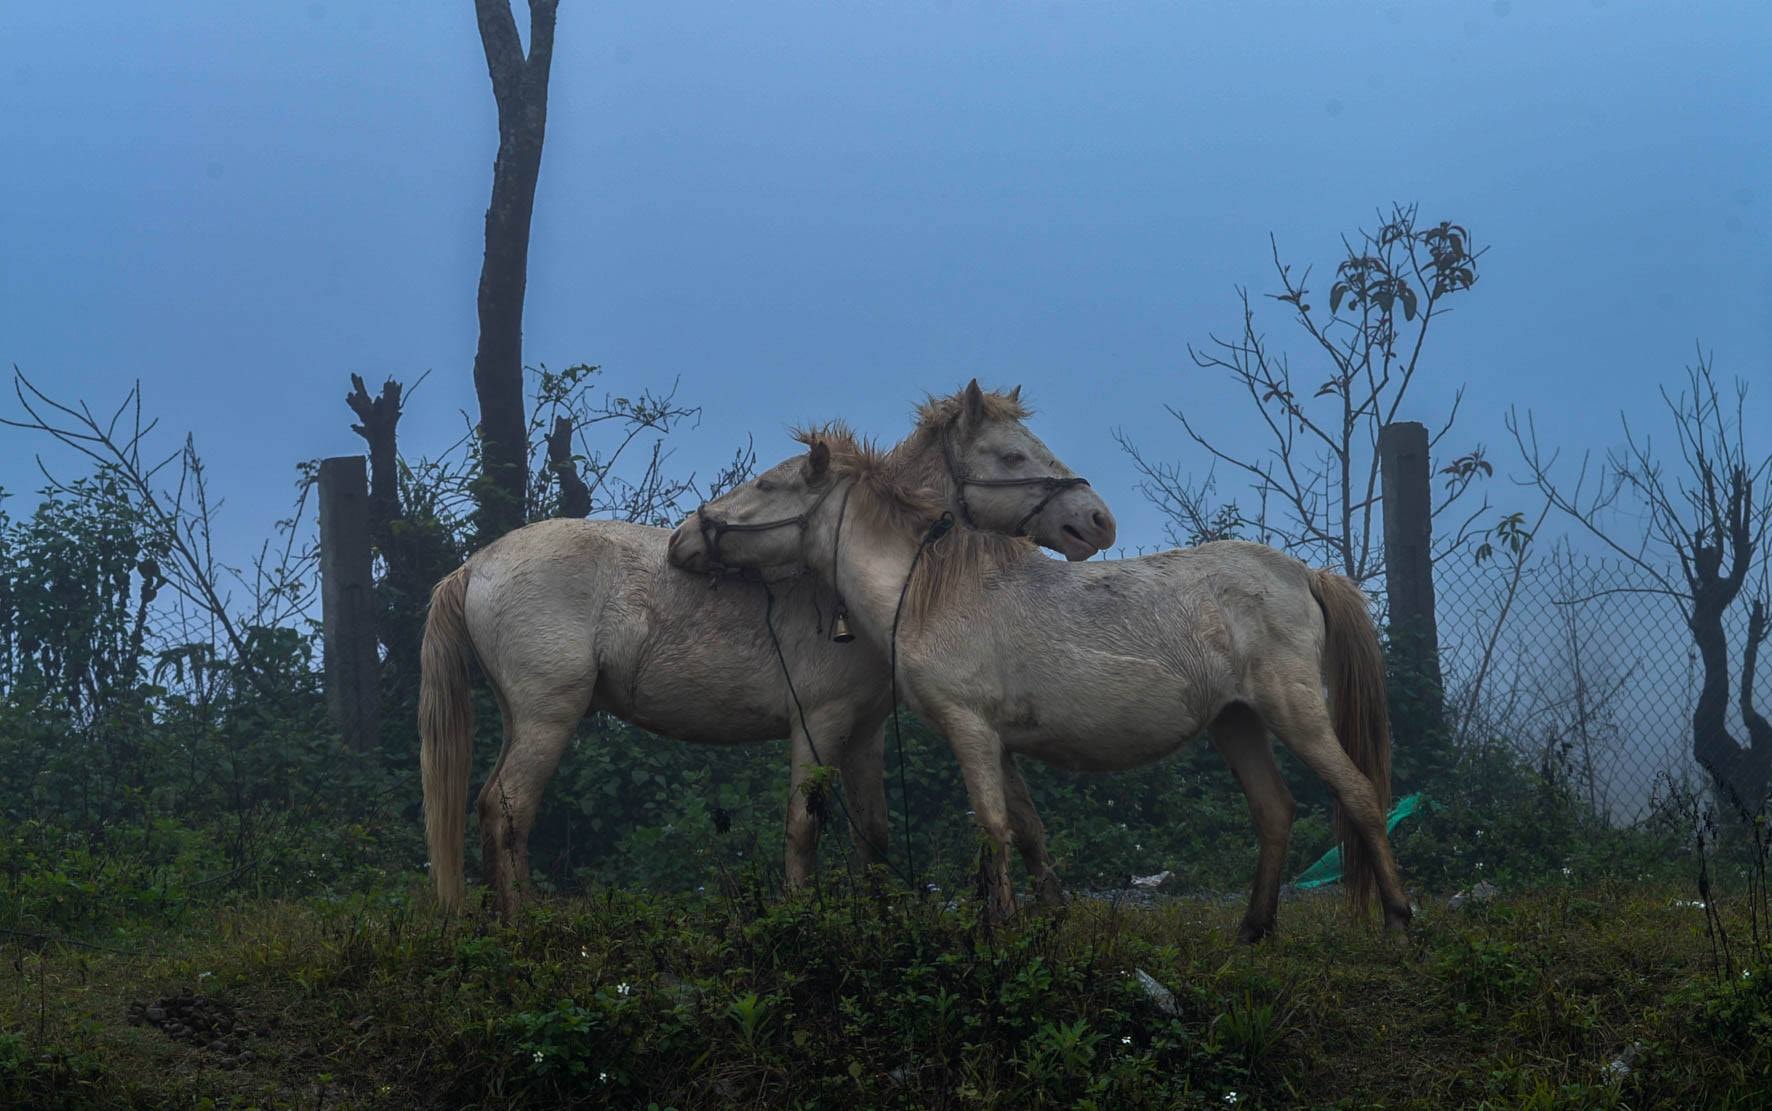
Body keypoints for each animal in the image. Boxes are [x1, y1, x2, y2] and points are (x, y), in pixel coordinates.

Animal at [416, 382, 1112, 921]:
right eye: (1012, 455)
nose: (1097, 521)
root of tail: (476, 565)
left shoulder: (864, 731)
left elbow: (874, 833)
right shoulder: (819, 722)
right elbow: (805, 824)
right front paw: (798, 917)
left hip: (522, 719)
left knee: (493, 807)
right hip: (547, 718)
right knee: (508, 810)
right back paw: (522, 925)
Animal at [669, 428, 1417, 935]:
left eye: (768, 486)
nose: (681, 539)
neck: (932, 593)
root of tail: (1305, 573)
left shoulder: (969, 729)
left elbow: (993, 828)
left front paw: (997, 924)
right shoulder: (997, 742)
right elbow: (1025, 827)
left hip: (1295, 711)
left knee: (1359, 794)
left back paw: (1399, 918)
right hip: (1236, 721)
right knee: (1275, 811)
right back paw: (1253, 930)